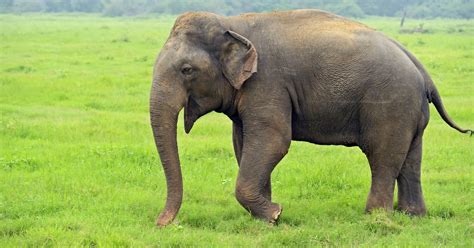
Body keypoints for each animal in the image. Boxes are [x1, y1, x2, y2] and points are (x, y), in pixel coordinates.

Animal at [150, 9, 472, 227]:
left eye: (187, 70)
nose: (162, 223)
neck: (233, 23)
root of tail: (420, 68)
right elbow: (243, 143)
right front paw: (267, 217)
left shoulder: (268, 82)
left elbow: (273, 141)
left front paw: (275, 214)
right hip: (411, 110)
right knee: (410, 158)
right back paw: (413, 216)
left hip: (391, 103)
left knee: (383, 155)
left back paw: (375, 217)